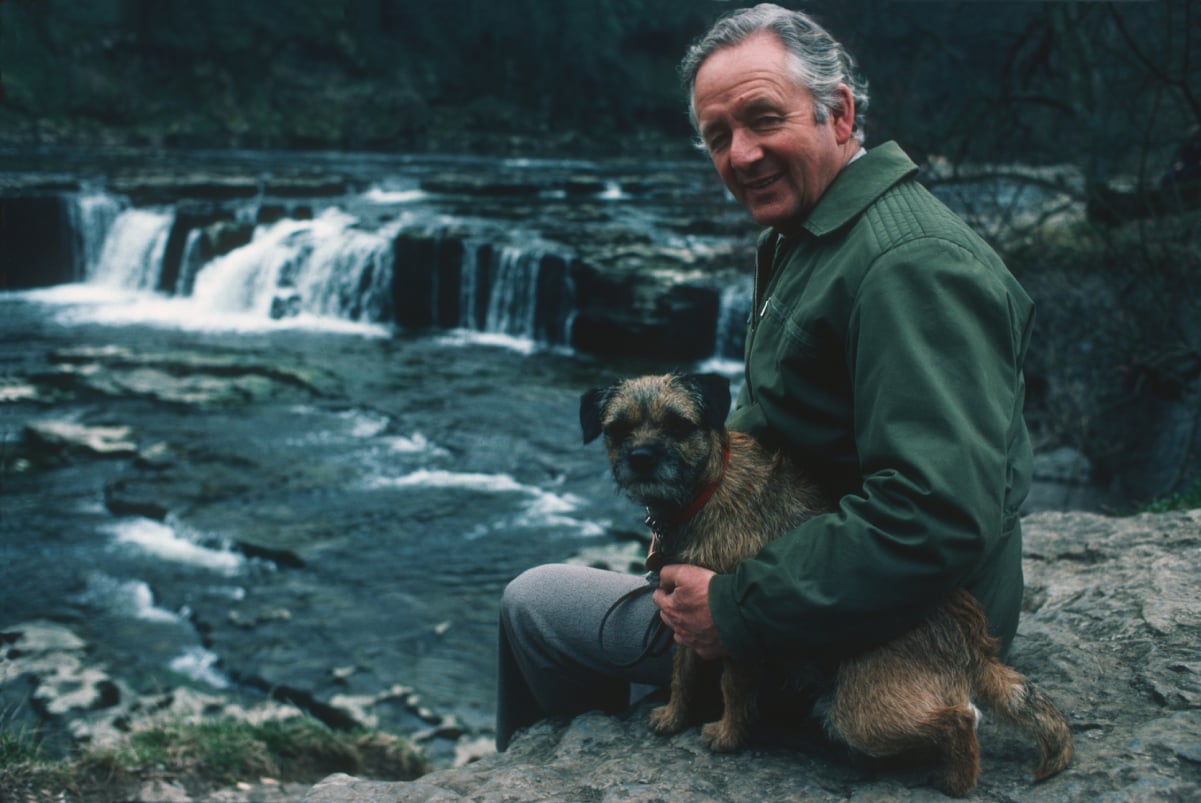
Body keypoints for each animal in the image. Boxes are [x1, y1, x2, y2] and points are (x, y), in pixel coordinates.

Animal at [578, 372, 1071, 796]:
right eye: (617, 430)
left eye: (678, 426)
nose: (642, 457)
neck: (704, 493)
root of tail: (973, 644)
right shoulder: (679, 608)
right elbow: (683, 672)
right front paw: (674, 715)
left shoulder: (723, 624)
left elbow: (732, 687)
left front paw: (729, 735)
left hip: (861, 712)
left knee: (961, 719)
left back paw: (955, 781)